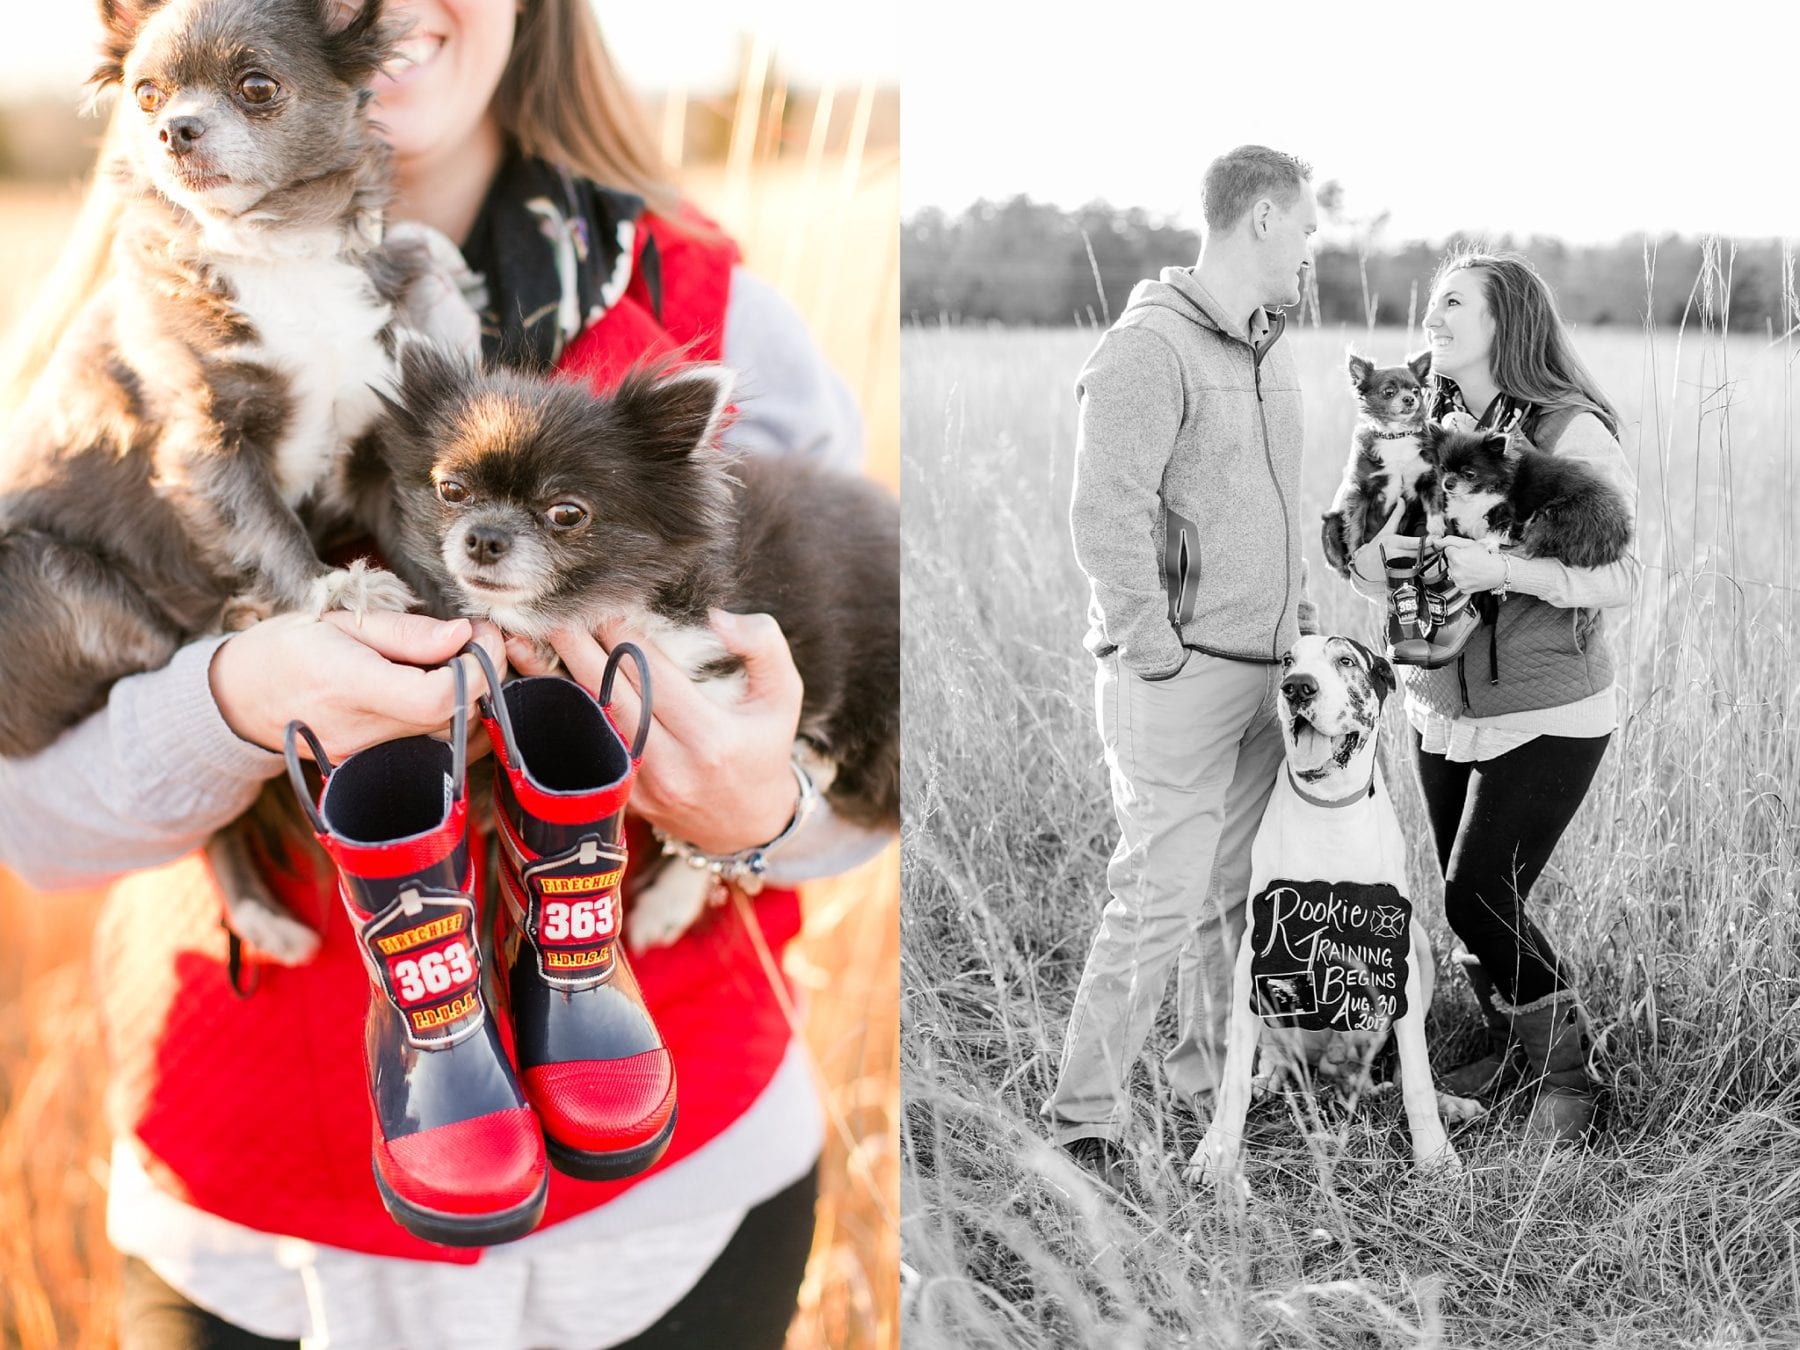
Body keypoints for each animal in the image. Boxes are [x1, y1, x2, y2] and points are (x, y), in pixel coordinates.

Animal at [1180, 633, 1476, 1180]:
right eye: (1287, 661)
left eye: (1345, 660)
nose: (1298, 687)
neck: (1330, 809)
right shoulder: (1254, 953)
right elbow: (1233, 1077)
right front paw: (1215, 1152)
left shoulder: (1396, 953)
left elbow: (1417, 1072)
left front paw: (1434, 1154)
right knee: (1275, 1056)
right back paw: (1272, 1080)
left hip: (1421, 949)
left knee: (1391, 1066)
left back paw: (1442, 1102)